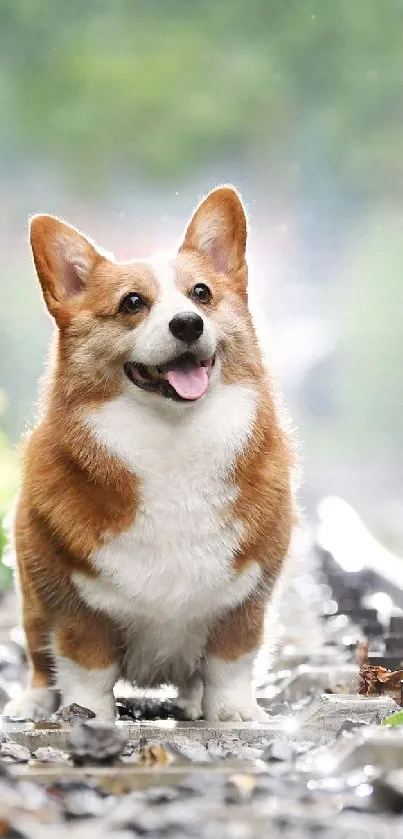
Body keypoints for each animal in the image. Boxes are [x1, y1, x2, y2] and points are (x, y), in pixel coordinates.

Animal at [2, 189, 294, 720]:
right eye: (132, 303)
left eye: (202, 294)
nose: (188, 324)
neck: (172, 440)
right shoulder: (75, 605)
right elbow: (86, 670)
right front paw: (92, 718)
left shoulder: (246, 599)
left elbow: (230, 663)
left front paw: (235, 713)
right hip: (32, 603)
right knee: (39, 659)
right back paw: (31, 704)